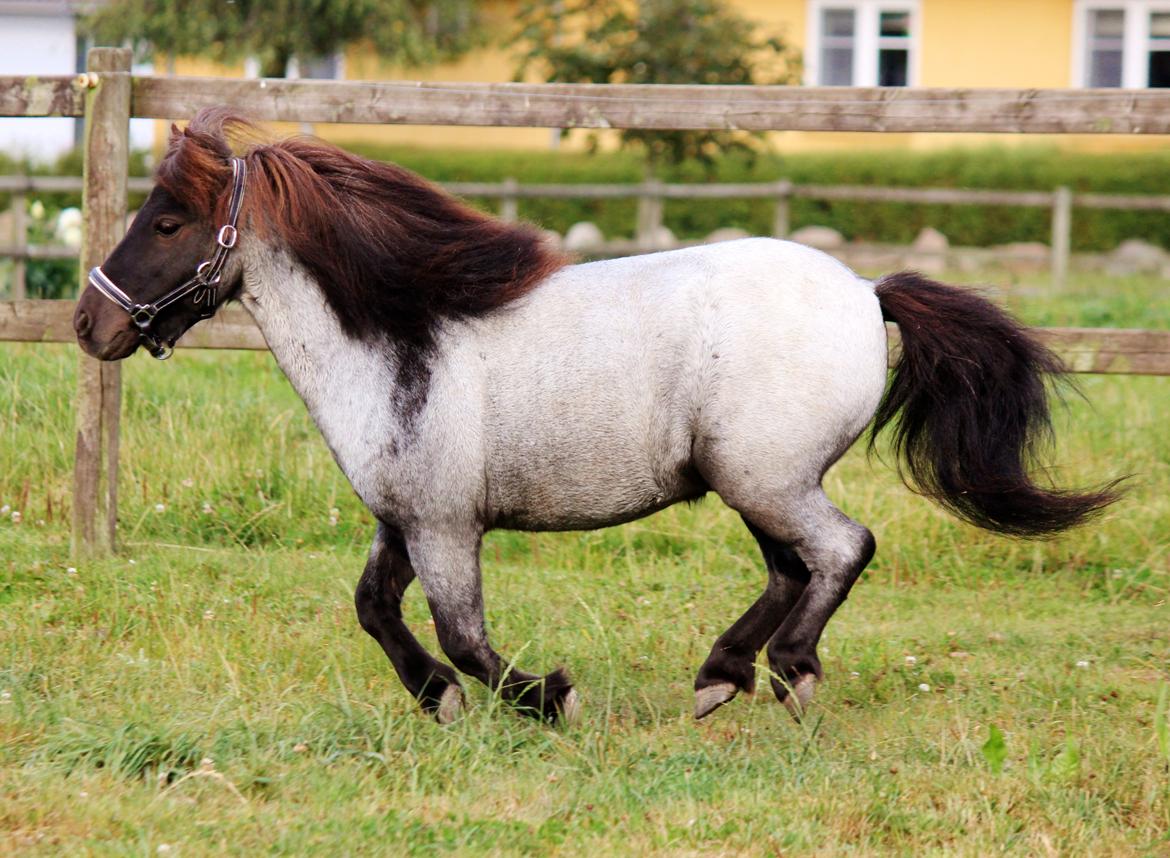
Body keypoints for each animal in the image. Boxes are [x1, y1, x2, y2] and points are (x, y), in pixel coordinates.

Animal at [70, 107, 1113, 721]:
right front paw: (438, 700)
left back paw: (789, 673)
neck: (400, 338)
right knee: (795, 568)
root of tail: (866, 291)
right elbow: (374, 610)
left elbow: (464, 635)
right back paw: (721, 677)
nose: (89, 323)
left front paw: (544, 696)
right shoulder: (402, 519)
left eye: (168, 221)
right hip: (750, 481)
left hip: (765, 477)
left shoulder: (446, 525)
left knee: (841, 550)